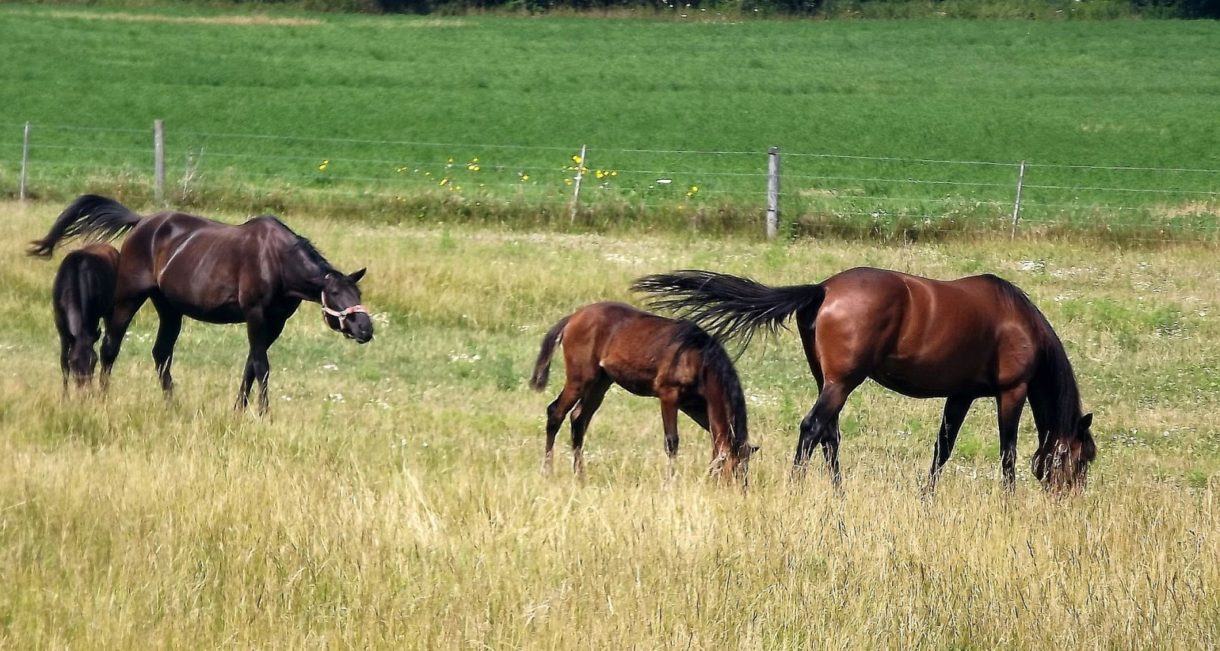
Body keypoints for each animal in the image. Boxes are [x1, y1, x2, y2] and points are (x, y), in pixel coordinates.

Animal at [48, 243, 120, 392]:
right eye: (73, 361)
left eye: (94, 360)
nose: (85, 390)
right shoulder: (61, 326)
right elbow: (63, 362)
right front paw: (65, 395)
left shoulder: (92, 320)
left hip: (110, 311)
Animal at [529, 303, 756, 482]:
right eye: (734, 469)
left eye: (746, 469)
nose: (740, 492)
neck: (698, 358)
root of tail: (573, 317)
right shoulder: (669, 395)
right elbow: (672, 441)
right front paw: (670, 483)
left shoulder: (695, 405)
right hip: (579, 379)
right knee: (556, 413)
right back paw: (547, 472)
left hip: (600, 383)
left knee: (578, 419)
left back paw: (580, 475)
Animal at [634, 268, 1102, 492]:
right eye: (1082, 460)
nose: (1069, 500)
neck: (1019, 322)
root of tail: (823, 289)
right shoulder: (1011, 391)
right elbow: (1007, 453)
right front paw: (1009, 501)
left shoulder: (962, 394)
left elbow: (943, 448)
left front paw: (926, 498)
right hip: (842, 382)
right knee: (813, 429)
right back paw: (797, 488)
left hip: (828, 380)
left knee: (829, 436)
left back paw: (838, 494)